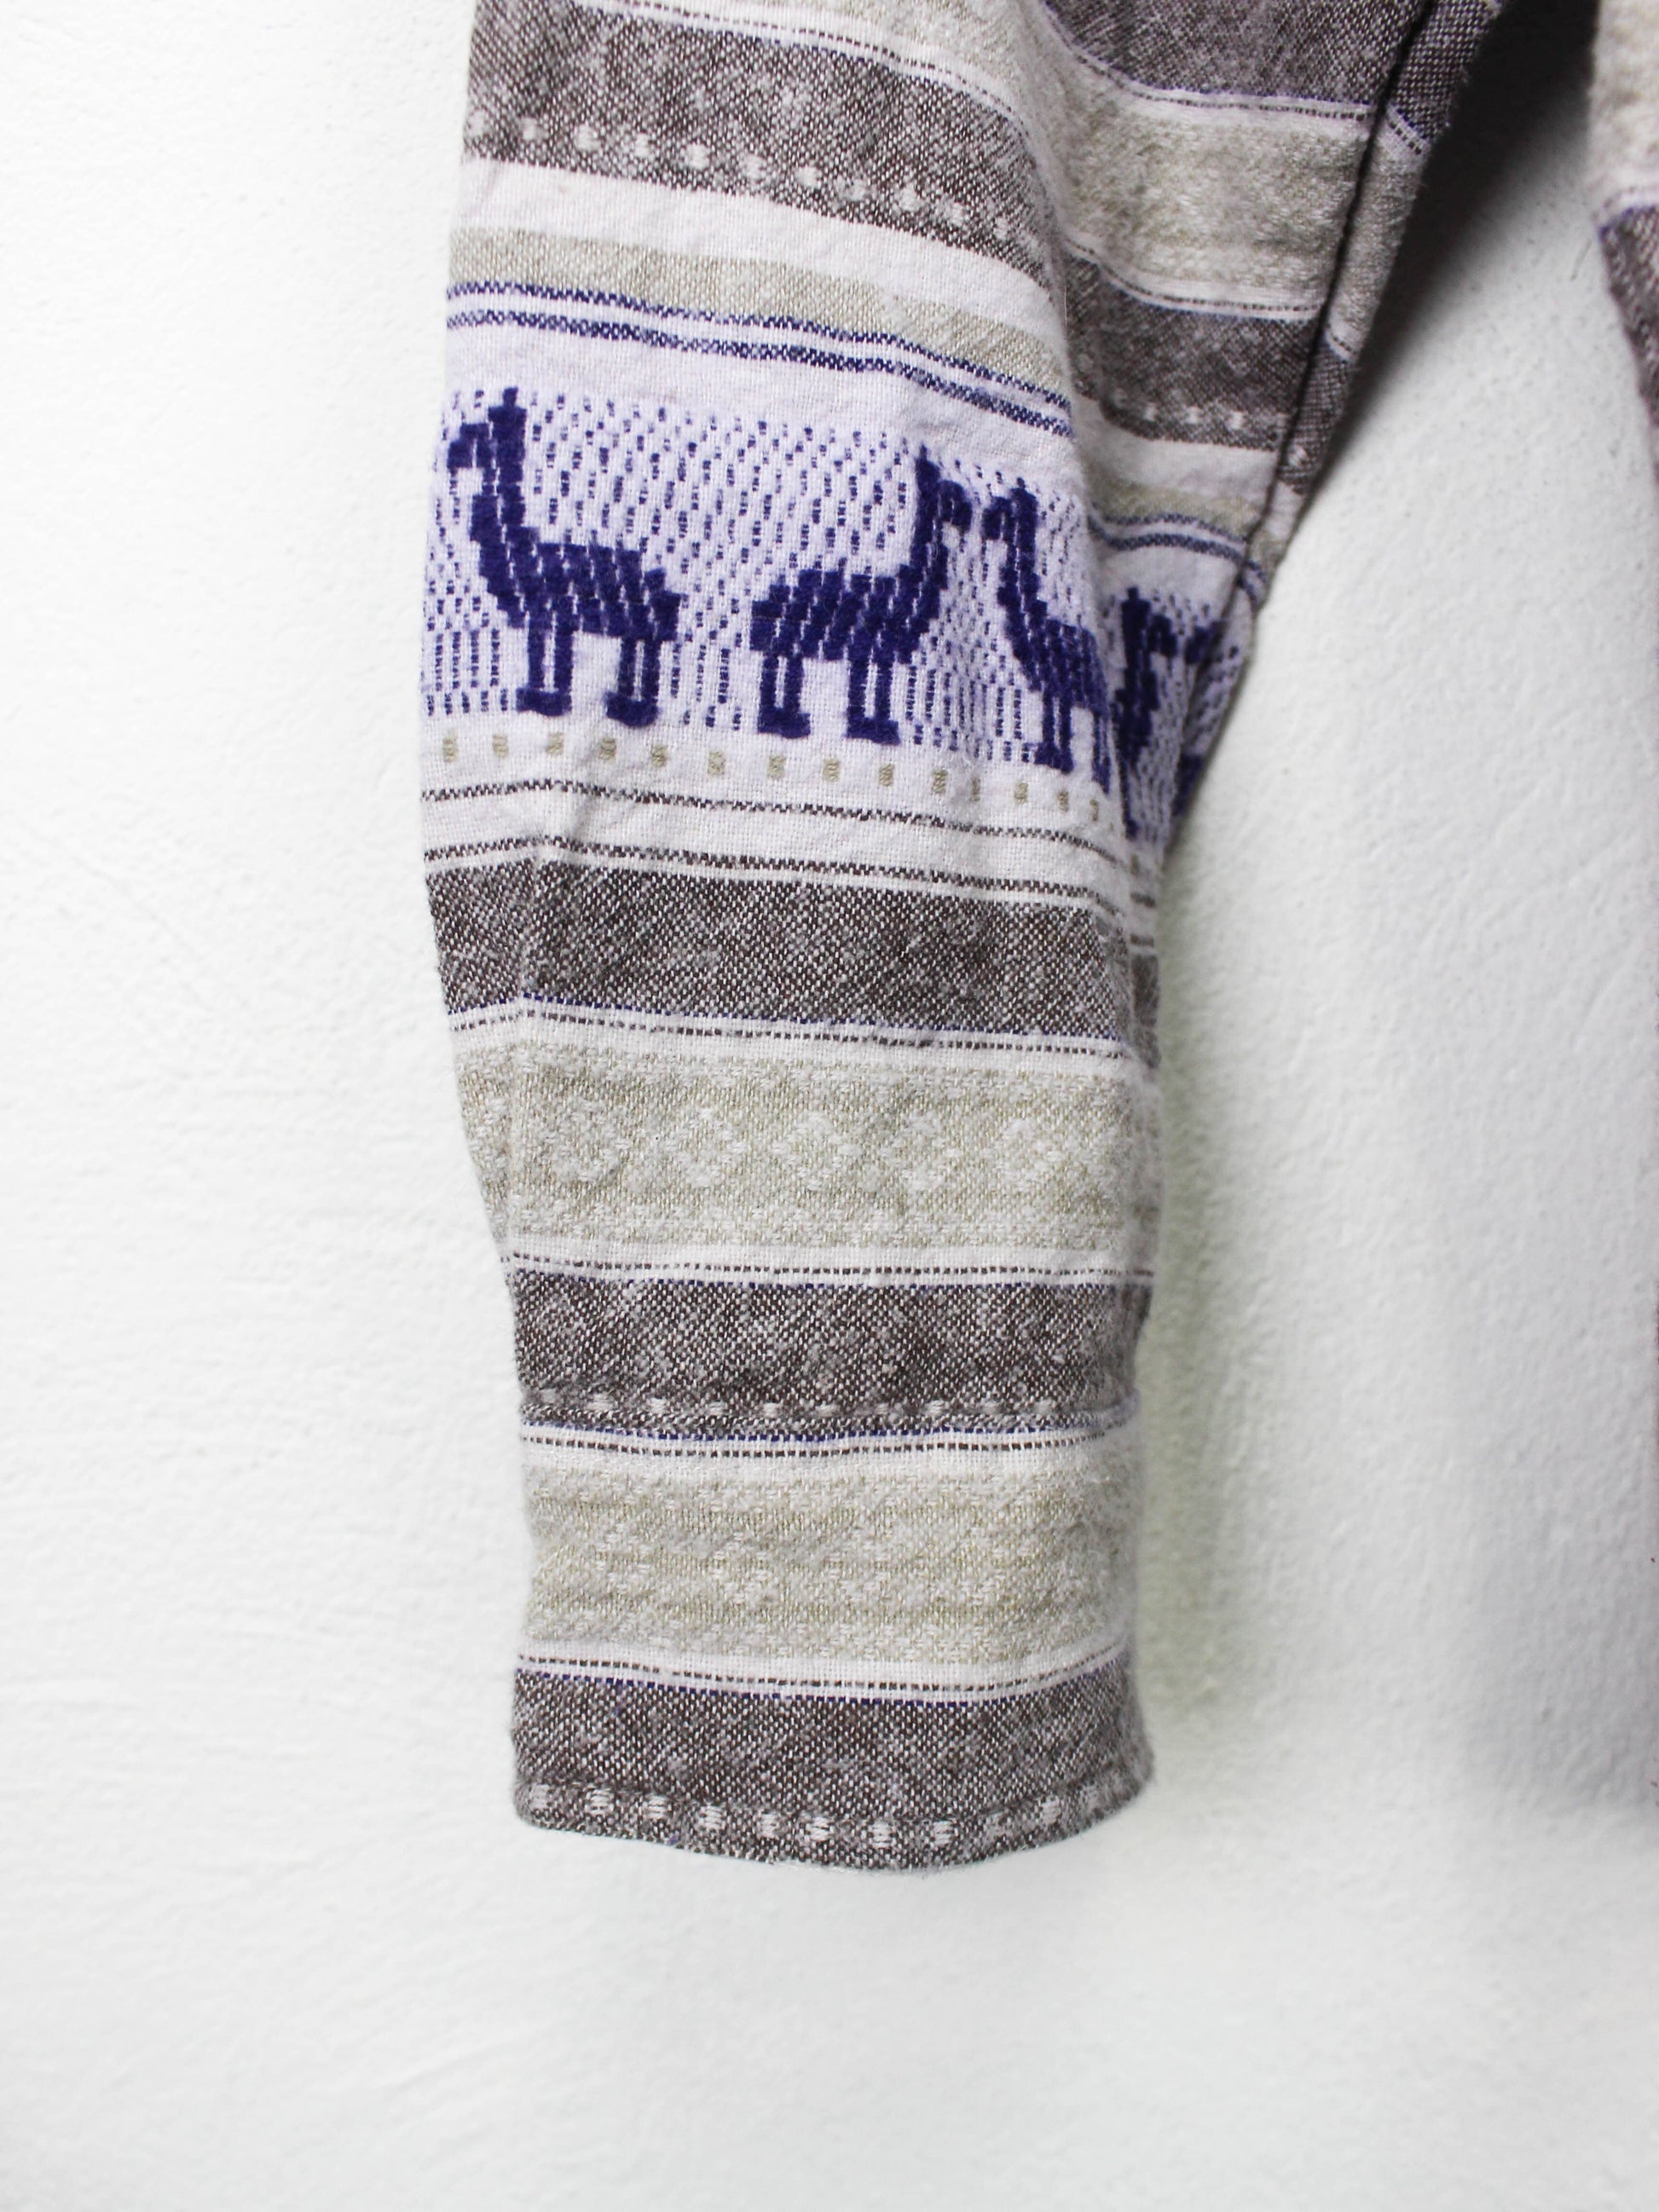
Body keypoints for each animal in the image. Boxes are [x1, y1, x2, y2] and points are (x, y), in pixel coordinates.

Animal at [446, 389, 682, 727]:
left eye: (476, 434)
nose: (453, 457)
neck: (522, 546)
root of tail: (659, 579)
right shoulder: (544, 618)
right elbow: (545, 659)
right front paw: (541, 697)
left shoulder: (550, 613)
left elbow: (550, 661)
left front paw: (543, 700)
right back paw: (626, 704)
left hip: (647, 625)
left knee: (645, 651)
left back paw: (634, 707)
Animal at [747, 453, 974, 745]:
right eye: (949, 495)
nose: (968, 517)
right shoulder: (880, 645)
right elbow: (875, 685)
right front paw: (874, 725)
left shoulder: (877, 650)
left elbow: (872, 684)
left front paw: (869, 724)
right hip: (784, 637)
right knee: (778, 664)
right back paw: (783, 719)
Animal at [982, 484, 1108, 779]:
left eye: (1003, 511)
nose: (985, 525)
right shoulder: (1051, 687)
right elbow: (1055, 719)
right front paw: (1052, 754)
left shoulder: (1054, 683)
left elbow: (1055, 720)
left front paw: (1054, 756)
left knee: (1098, 725)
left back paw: (1098, 768)